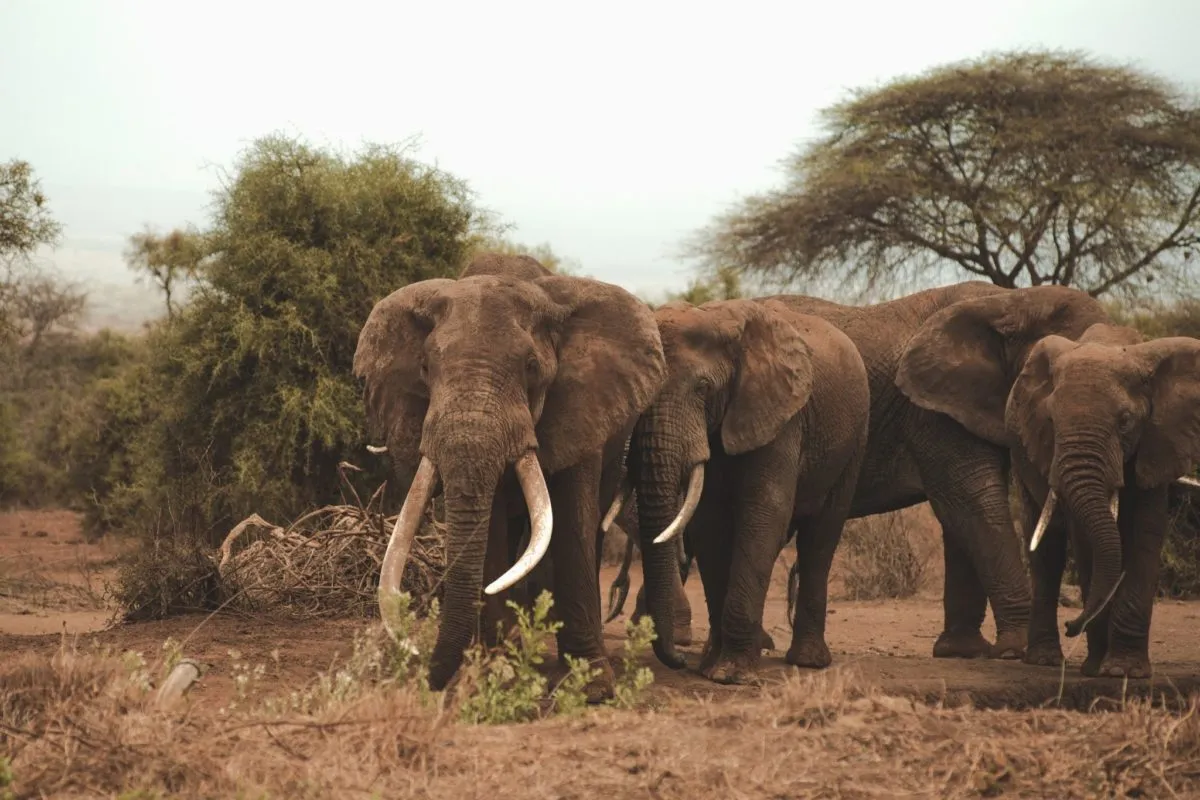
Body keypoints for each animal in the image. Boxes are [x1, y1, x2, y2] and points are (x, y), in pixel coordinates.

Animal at [352, 252, 666, 698]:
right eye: (426, 368)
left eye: (531, 367)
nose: (425, 673)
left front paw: (588, 687)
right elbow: (491, 526)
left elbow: (572, 520)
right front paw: (491, 675)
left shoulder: (579, 405)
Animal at [629, 298, 870, 682]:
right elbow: (710, 524)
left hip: (855, 439)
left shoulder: (782, 417)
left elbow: (763, 513)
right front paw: (711, 667)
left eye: (703, 388)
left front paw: (731, 674)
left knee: (821, 537)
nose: (678, 659)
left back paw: (807, 661)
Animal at [997, 323, 1200, 677]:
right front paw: (1097, 669)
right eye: (1051, 422)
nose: (1071, 626)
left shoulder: (1157, 443)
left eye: (1125, 421)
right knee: (1046, 550)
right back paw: (1044, 660)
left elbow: (1145, 534)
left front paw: (1124, 671)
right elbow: (1085, 540)